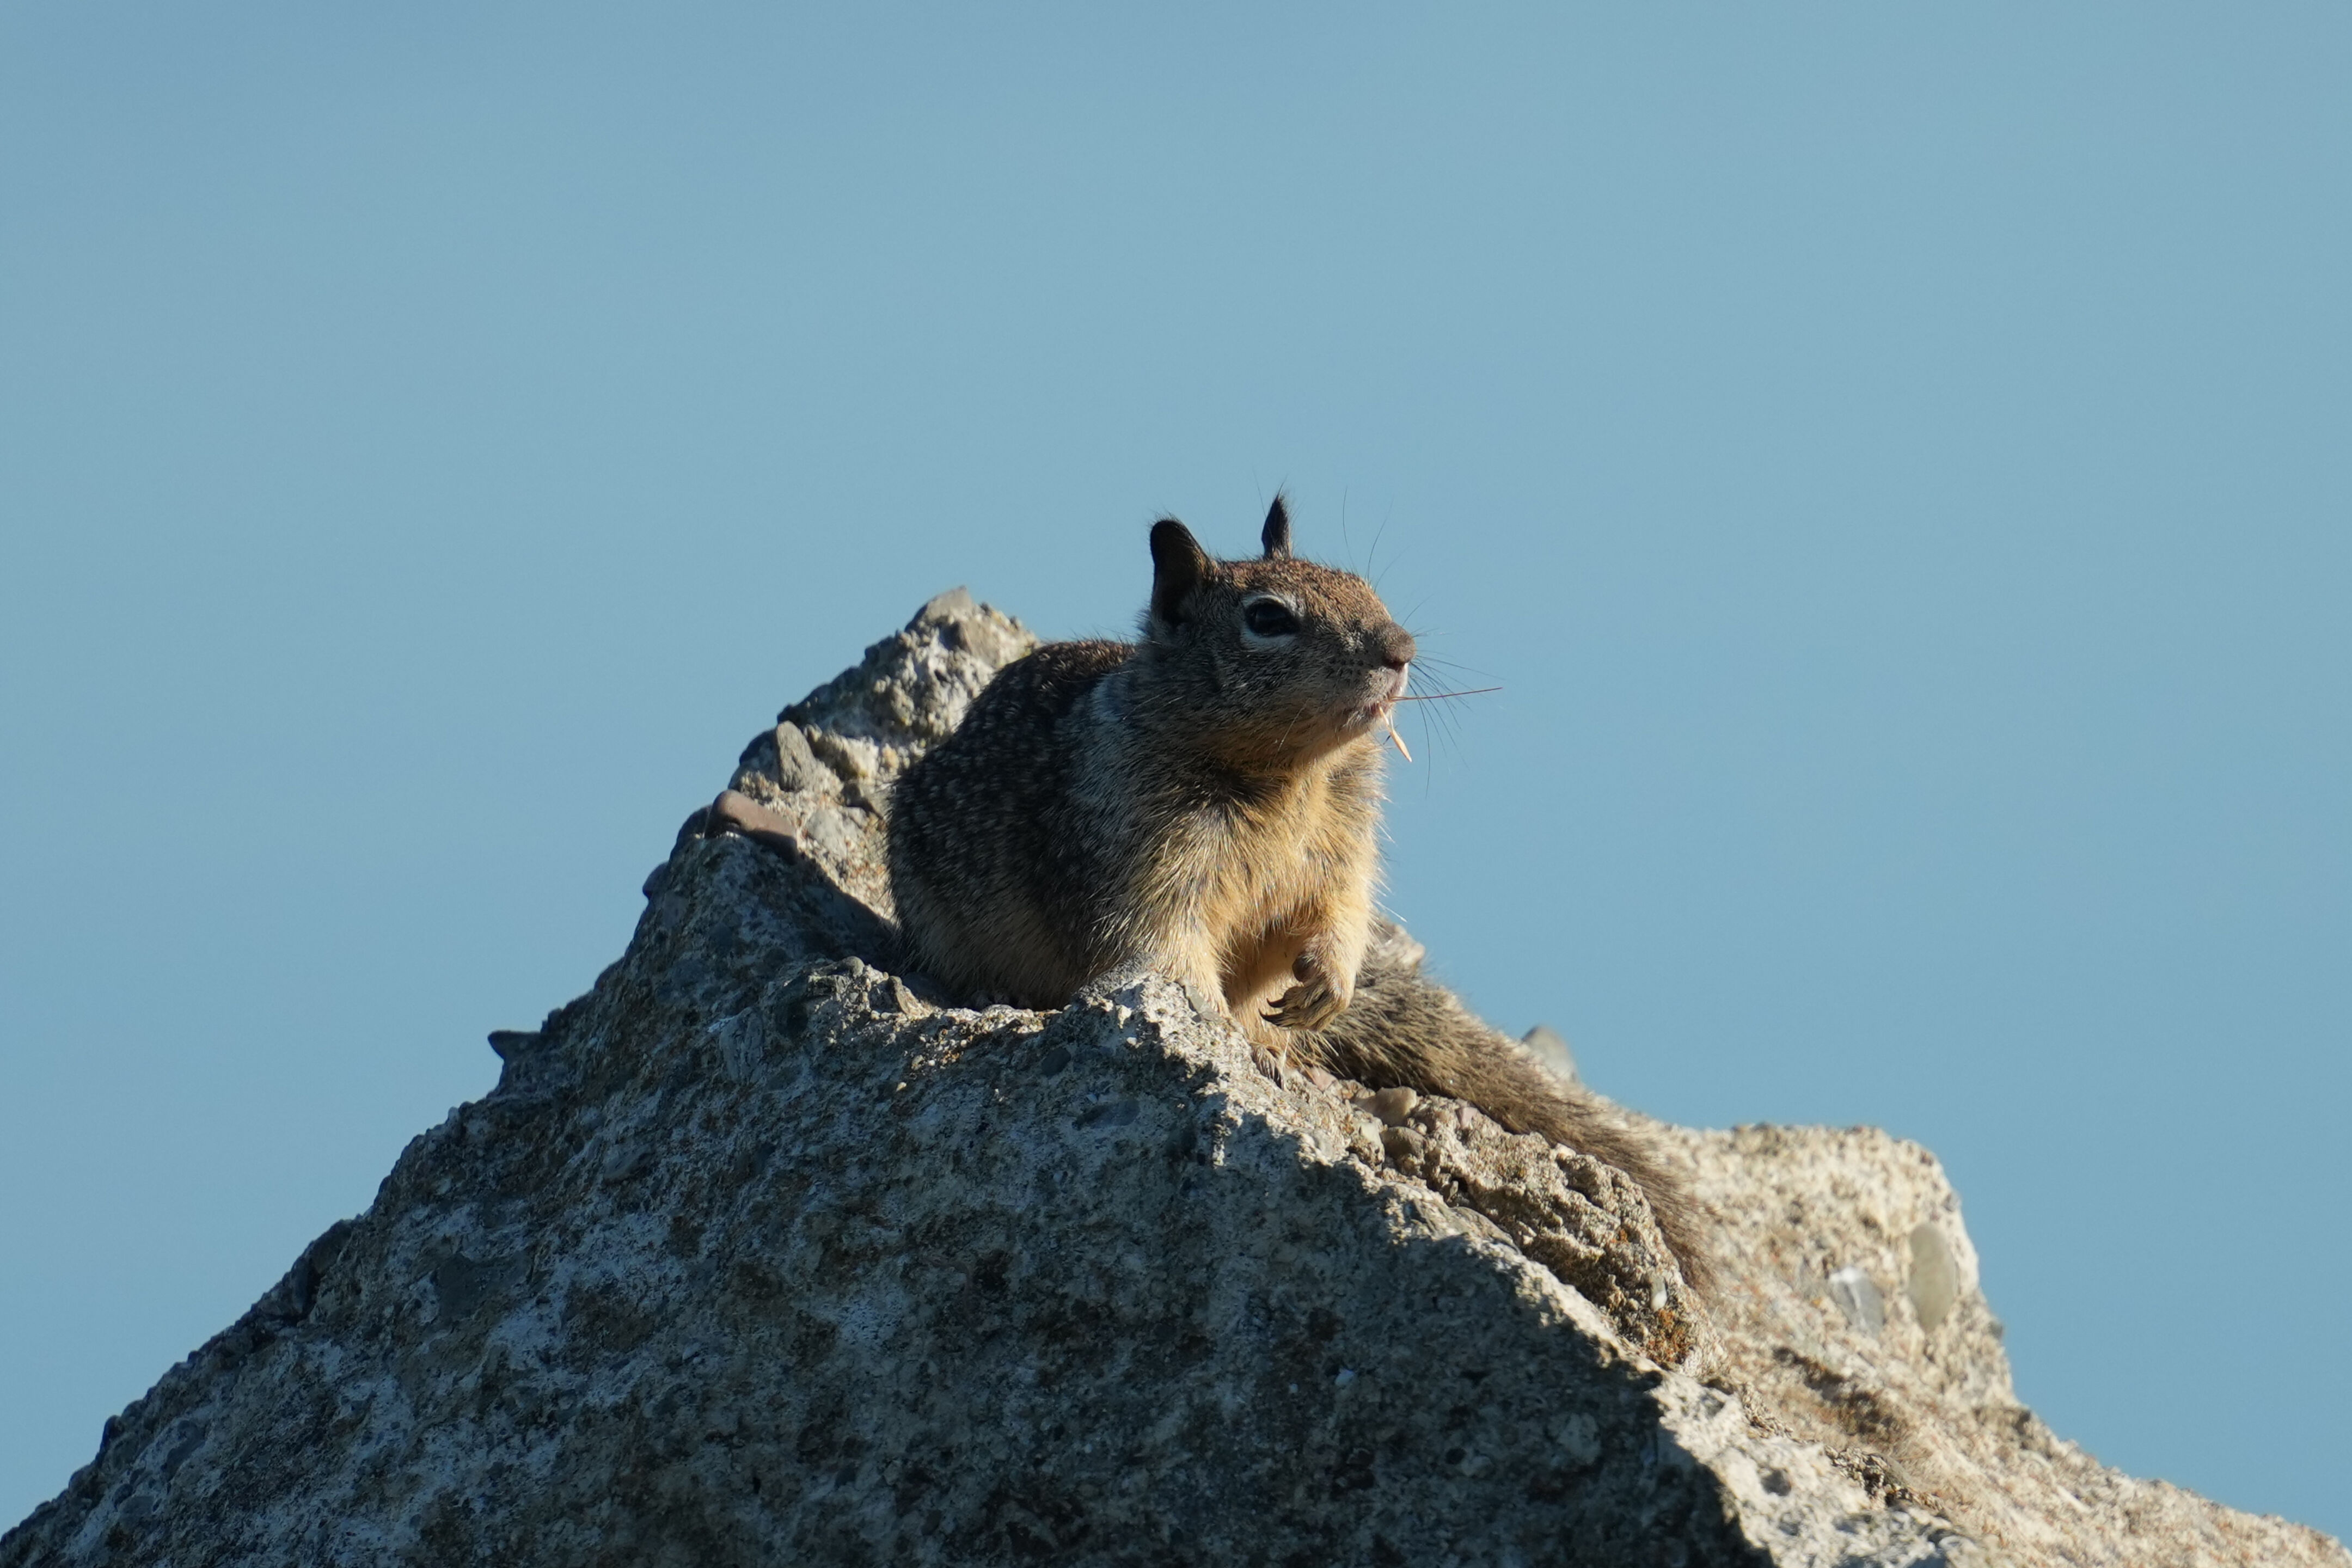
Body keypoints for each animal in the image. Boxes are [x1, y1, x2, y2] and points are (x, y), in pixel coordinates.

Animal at [885, 498, 1707, 1288]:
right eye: (1269, 619)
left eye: (1365, 586)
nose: (1401, 651)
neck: (1286, 775)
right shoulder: (1137, 862)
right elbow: (1162, 950)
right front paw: (1214, 1026)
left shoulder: (1343, 851)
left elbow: (1340, 917)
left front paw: (1326, 987)